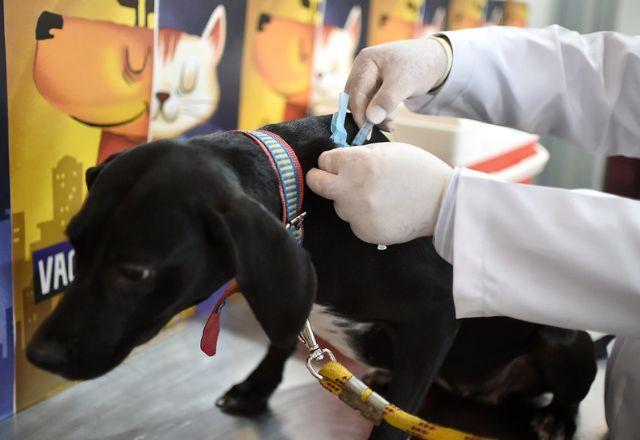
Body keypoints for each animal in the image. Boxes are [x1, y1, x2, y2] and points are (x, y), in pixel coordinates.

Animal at [27, 115, 596, 438]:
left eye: (135, 271)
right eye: (75, 246)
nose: (39, 355)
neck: (309, 204)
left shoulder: (436, 316)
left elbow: (397, 423)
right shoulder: (288, 282)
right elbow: (283, 336)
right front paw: (256, 388)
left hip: (563, 341)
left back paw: (556, 418)